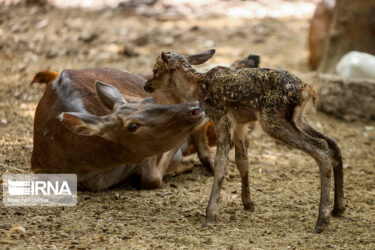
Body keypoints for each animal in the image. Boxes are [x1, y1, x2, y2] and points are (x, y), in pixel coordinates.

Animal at [144, 49, 346, 233]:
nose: (147, 86)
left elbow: (221, 164)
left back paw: (321, 222)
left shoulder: (222, 117)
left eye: (155, 69)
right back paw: (338, 209)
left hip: (273, 120)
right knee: (332, 144)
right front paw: (248, 203)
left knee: (321, 149)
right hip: (299, 119)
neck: (197, 88)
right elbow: (242, 161)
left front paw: (210, 215)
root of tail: (307, 89)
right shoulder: (241, 123)